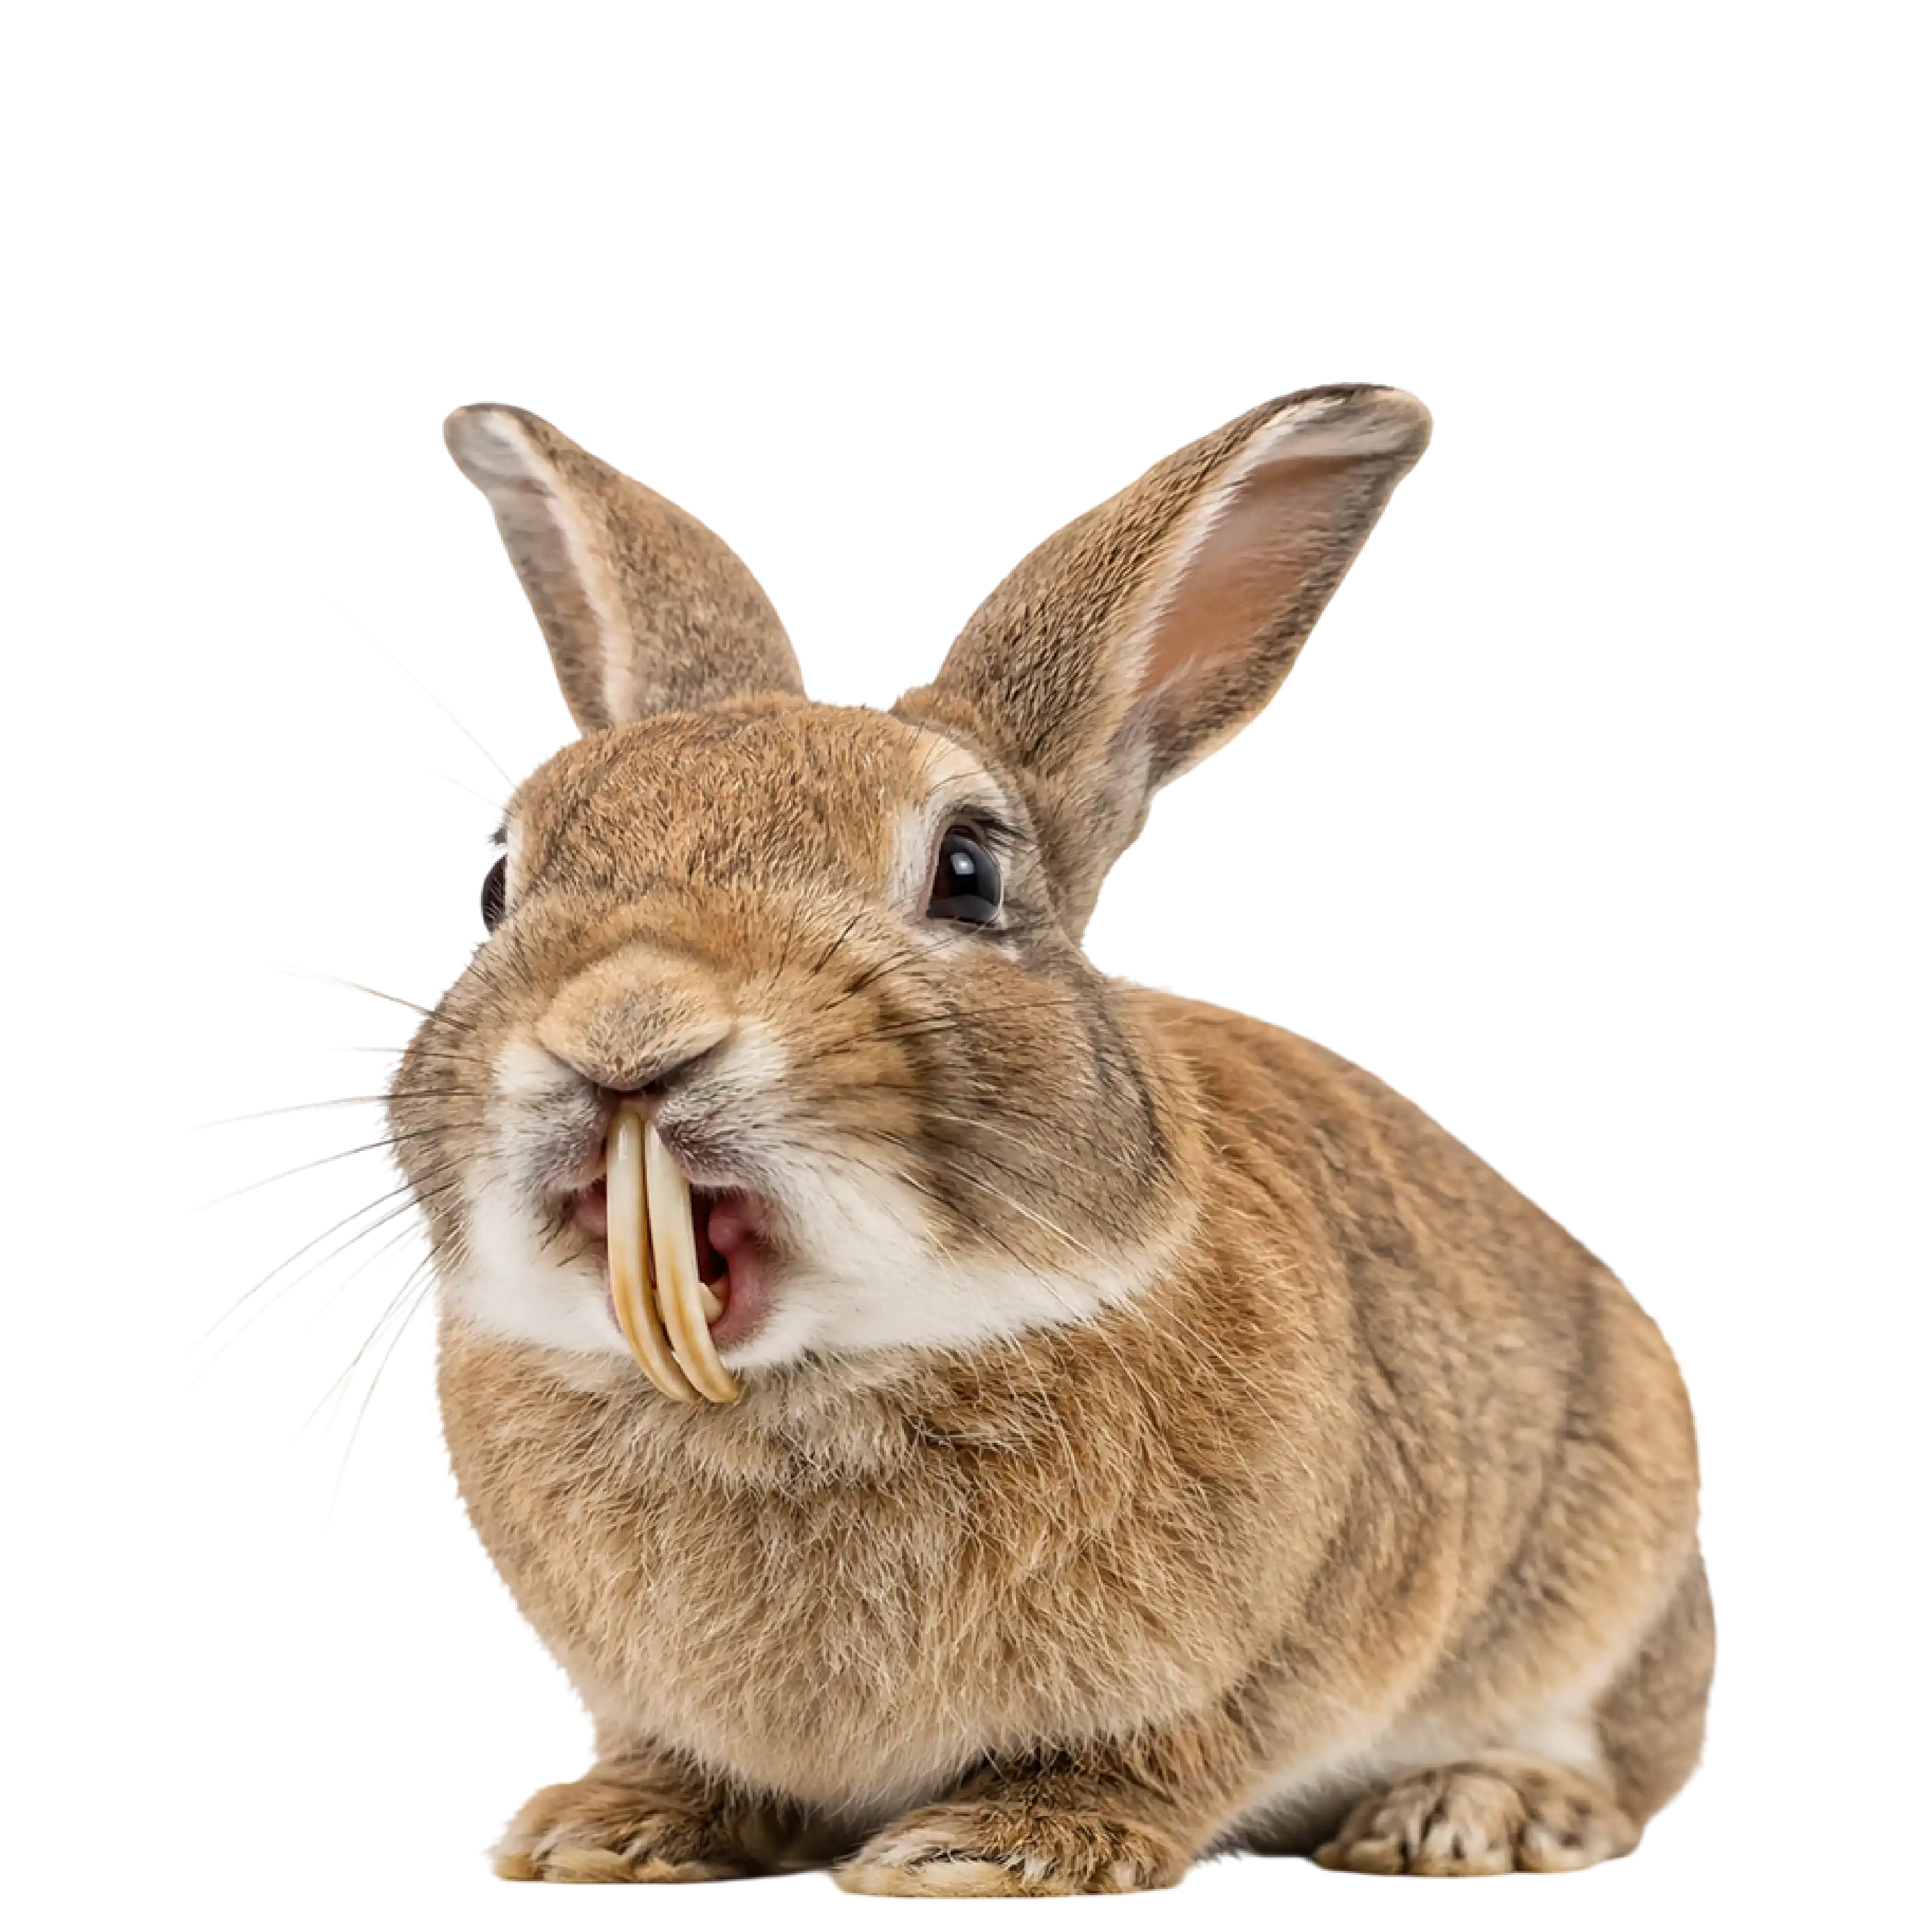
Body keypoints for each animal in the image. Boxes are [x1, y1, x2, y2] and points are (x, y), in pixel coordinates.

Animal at [376, 382, 1715, 1895]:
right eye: (495, 881)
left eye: (967, 870)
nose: (626, 1033)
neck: (806, 1385)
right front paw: (595, 1831)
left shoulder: (1245, 1662)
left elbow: (1156, 1755)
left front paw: (982, 1852)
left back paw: (1470, 1816)